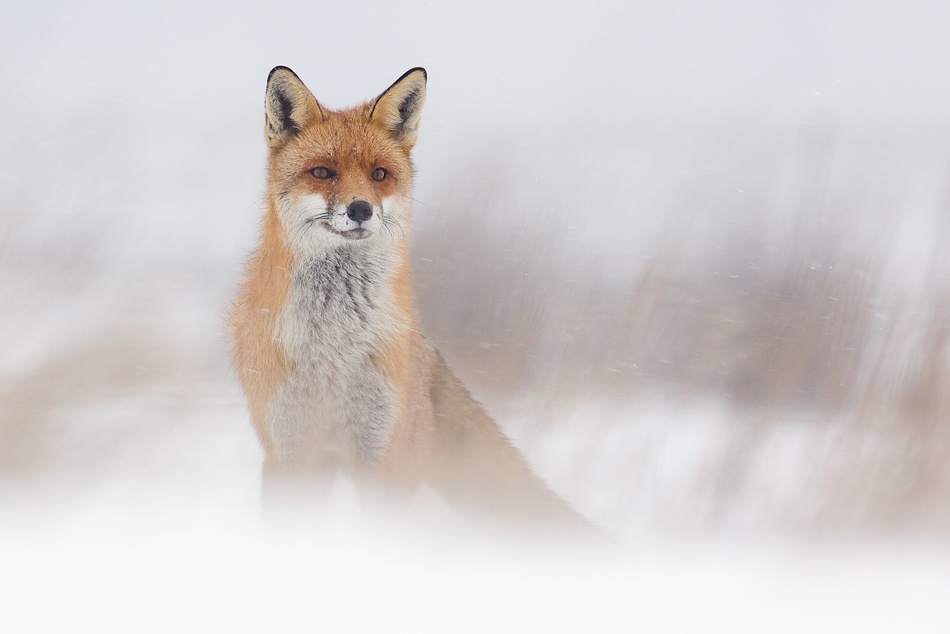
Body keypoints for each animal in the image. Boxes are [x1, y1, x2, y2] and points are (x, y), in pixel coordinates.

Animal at [231, 68, 600, 532]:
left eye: (379, 174)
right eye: (322, 172)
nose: (360, 209)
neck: (334, 349)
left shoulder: (381, 454)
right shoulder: (287, 452)